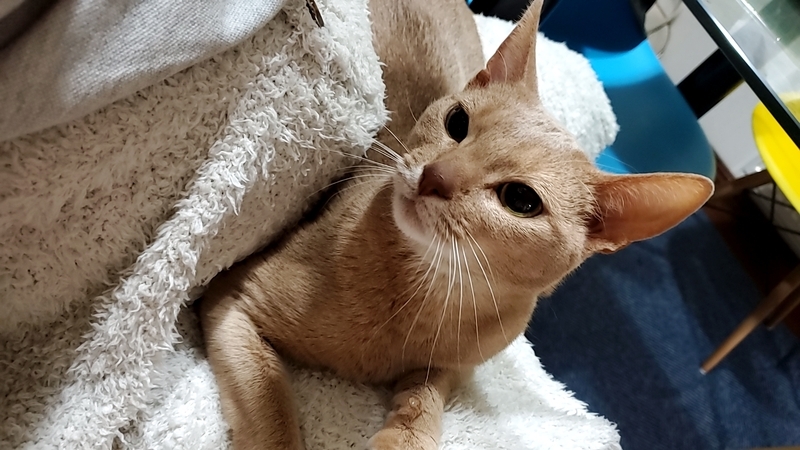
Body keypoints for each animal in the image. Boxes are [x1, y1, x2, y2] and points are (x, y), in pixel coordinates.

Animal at [198, 0, 714, 448]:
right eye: (457, 123)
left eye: (520, 200)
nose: (435, 176)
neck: (426, 290)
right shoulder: (233, 298)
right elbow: (272, 409)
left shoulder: (449, 368)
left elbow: (424, 406)